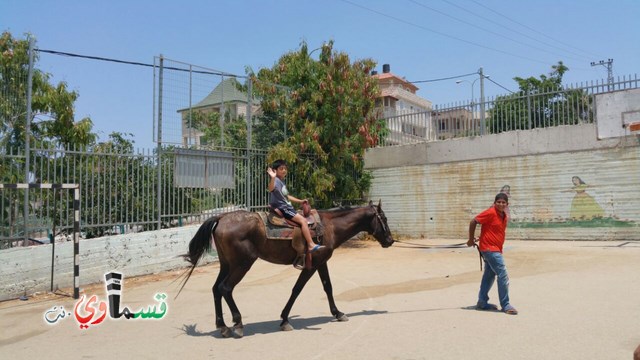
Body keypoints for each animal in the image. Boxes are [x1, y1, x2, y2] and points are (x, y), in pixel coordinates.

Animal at [181, 201, 396, 338]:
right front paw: (284, 319)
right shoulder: (311, 265)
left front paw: (337, 313)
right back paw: (238, 324)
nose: (390, 240)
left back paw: (222, 326)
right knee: (226, 288)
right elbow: (297, 289)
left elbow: (328, 287)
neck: (330, 226)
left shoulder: (321, 262)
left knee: (216, 289)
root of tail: (221, 217)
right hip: (242, 264)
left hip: (227, 264)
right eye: (384, 218)